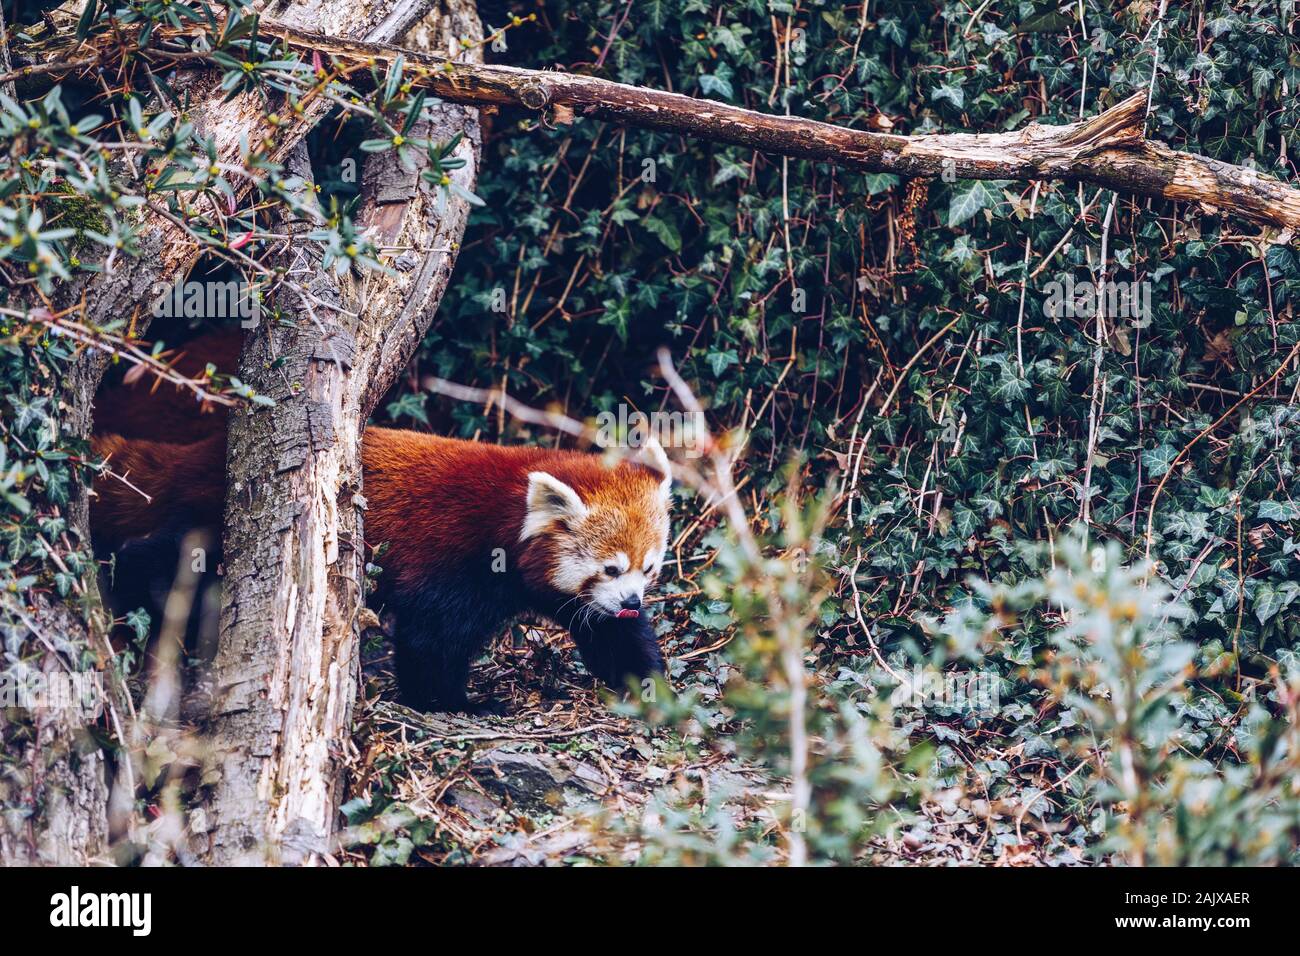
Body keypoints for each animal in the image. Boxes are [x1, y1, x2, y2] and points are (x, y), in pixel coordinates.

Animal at [94, 426, 670, 712]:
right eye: (610, 568)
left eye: (647, 569)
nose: (632, 601)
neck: (509, 515)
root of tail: (208, 450)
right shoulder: (451, 558)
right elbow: (431, 640)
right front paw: (456, 704)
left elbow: (609, 636)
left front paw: (652, 688)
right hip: (218, 521)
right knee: (164, 564)